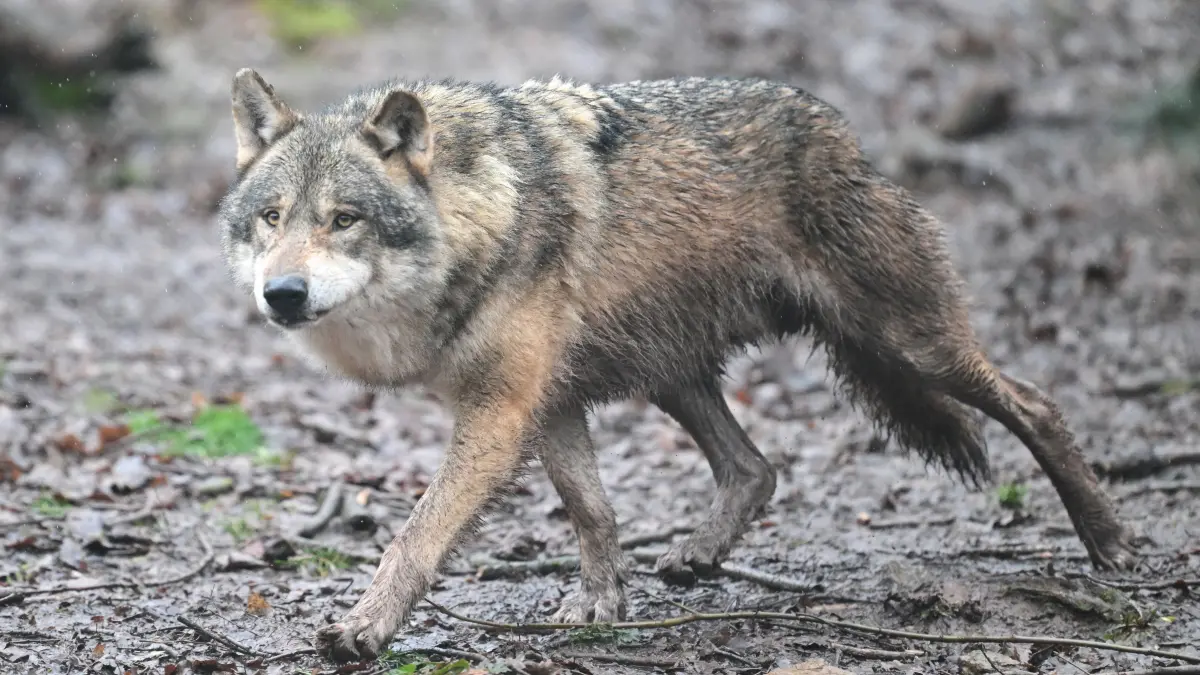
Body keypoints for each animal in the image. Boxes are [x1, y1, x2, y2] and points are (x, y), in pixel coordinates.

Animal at [218, 68, 1137, 662]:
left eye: (344, 219)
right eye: (272, 217)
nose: (283, 293)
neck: (480, 214)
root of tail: (843, 133)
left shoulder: (500, 411)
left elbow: (415, 534)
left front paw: (363, 628)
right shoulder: (547, 403)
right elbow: (592, 510)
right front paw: (601, 605)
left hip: (910, 344)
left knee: (1036, 402)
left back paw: (1110, 543)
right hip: (672, 372)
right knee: (756, 467)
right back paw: (697, 554)